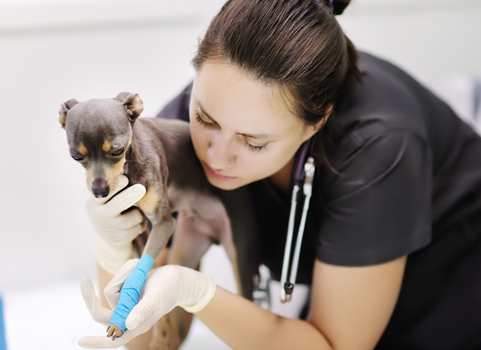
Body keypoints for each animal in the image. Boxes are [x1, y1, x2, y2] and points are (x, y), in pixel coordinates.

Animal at [58, 93, 242, 350]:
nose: (99, 192)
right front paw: (151, 327)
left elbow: (144, 272)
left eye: (116, 151)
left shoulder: (163, 223)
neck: (128, 171)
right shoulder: (137, 230)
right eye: (76, 156)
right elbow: (144, 272)